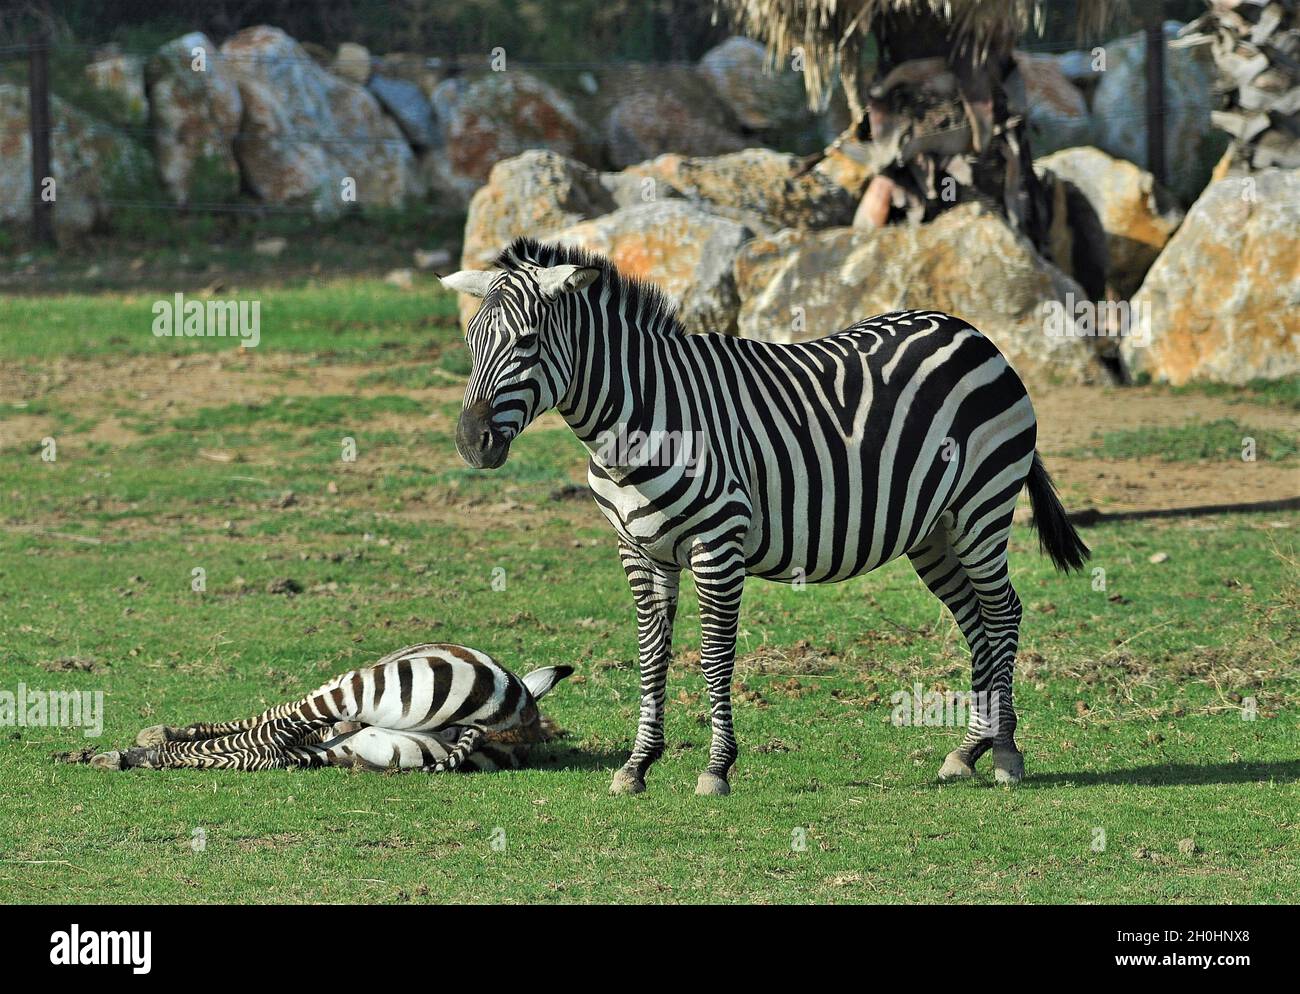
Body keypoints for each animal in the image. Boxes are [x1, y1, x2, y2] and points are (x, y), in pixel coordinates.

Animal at [91, 644, 574, 774]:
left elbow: (261, 722)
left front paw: (156, 739)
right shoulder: (343, 736)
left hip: (356, 691)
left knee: (269, 742)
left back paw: (137, 756)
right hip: (367, 743)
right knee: (271, 750)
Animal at [441, 239, 1081, 790]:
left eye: (526, 342)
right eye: (471, 341)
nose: (472, 442)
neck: (635, 423)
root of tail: (970, 331)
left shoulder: (717, 546)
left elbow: (715, 658)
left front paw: (716, 768)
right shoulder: (640, 550)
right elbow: (651, 659)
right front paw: (637, 765)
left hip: (981, 508)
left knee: (1003, 613)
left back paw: (1005, 752)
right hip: (934, 531)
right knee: (976, 622)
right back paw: (970, 750)